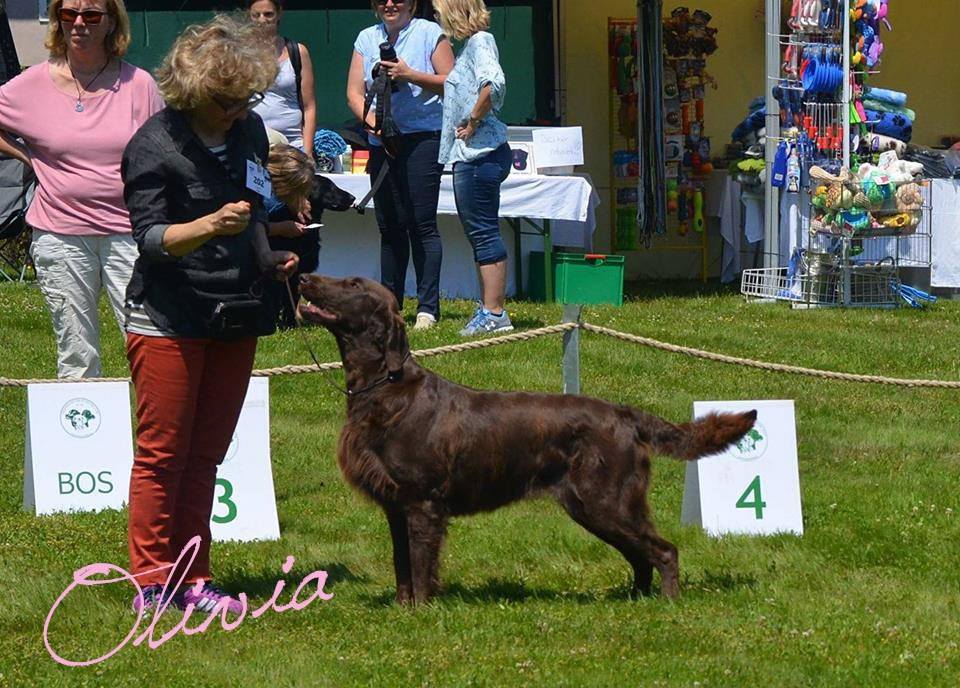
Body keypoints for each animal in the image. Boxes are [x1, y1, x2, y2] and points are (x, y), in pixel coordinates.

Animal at [296, 274, 752, 600]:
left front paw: (422, 612)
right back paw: (634, 600)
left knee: (664, 551)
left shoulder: (422, 503)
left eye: (353, 284)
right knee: (641, 557)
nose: (303, 276)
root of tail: (624, 413)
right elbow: (401, 563)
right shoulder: (396, 505)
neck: (384, 386)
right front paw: (402, 609)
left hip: (608, 501)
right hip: (593, 508)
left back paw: (668, 604)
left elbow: (422, 566)